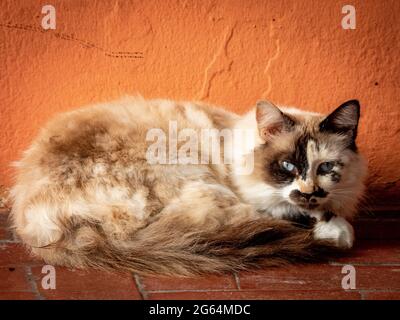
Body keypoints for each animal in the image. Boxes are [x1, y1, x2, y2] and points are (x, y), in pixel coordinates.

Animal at [9, 97, 368, 276]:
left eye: (326, 168)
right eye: (287, 166)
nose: (308, 193)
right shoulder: (254, 199)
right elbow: (290, 215)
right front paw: (337, 231)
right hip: (196, 186)